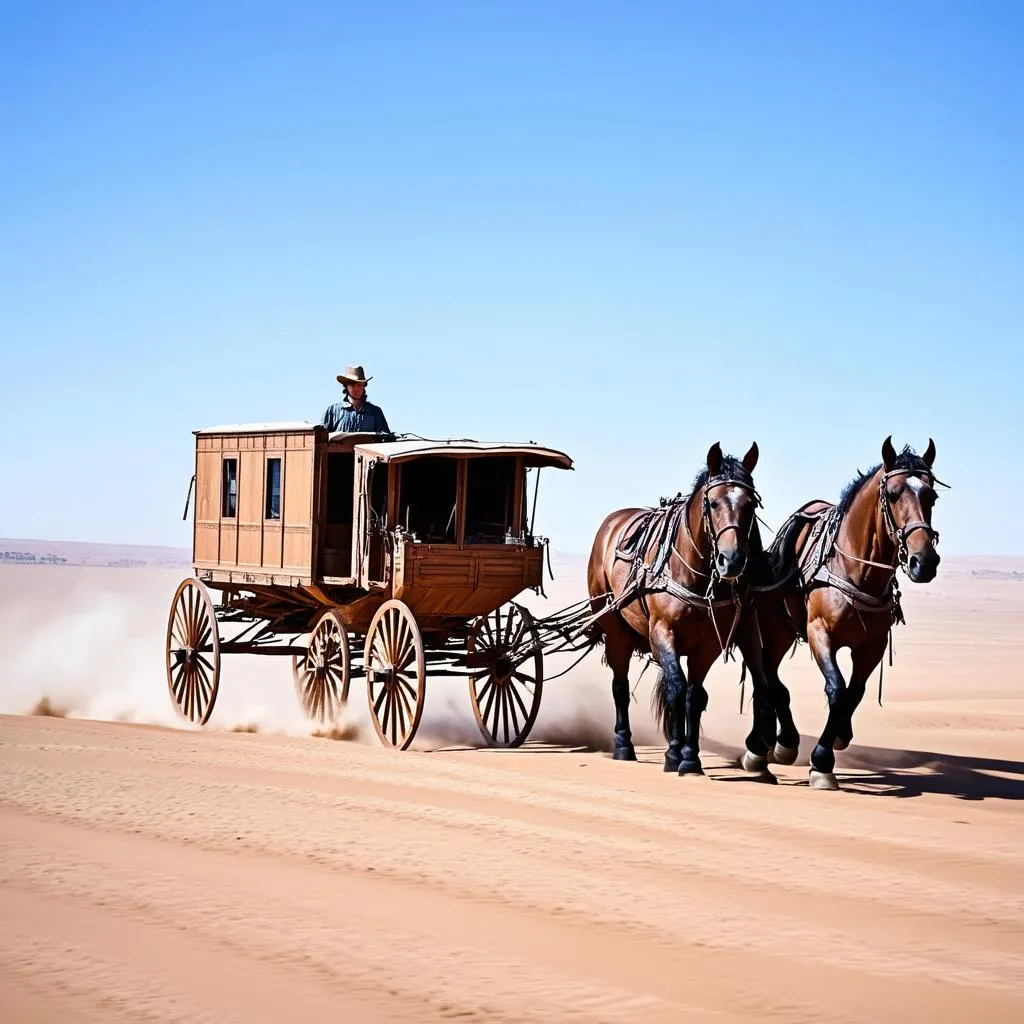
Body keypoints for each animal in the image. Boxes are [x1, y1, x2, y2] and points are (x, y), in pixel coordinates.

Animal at [585, 442, 774, 774]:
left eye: (751, 504)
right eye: (713, 503)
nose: (732, 560)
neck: (690, 572)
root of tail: (610, 524)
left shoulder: (709, 643)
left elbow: (693, 695)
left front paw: (688, 755)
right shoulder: (663, 632)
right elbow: (675, 687)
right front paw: (675, 754)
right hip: (615, 629)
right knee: (620, 686)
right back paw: (623, 745)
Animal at [753, 436, 942, 786]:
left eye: (932, 495)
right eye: (893, 494)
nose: (924, 562)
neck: (856, 573)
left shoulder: (872, 646)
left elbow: (854, 693)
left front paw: (839, 736)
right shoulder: (819, 633)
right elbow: (837, 690)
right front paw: (821, 761)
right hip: (777, 631)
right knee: (770, 678)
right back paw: (777, 744)